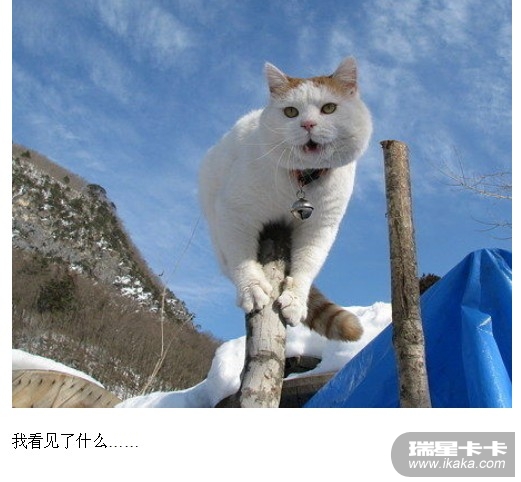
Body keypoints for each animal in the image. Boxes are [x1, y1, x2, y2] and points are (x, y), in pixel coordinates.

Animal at [199, 57, 372, 341]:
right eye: (291, 112)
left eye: (329, 108)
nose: (308, 124)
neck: (301, 181)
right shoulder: (234, 212)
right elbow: (241, 257)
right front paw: (252, 288)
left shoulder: (320, 227)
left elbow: (308, 263)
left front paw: (296, 299)